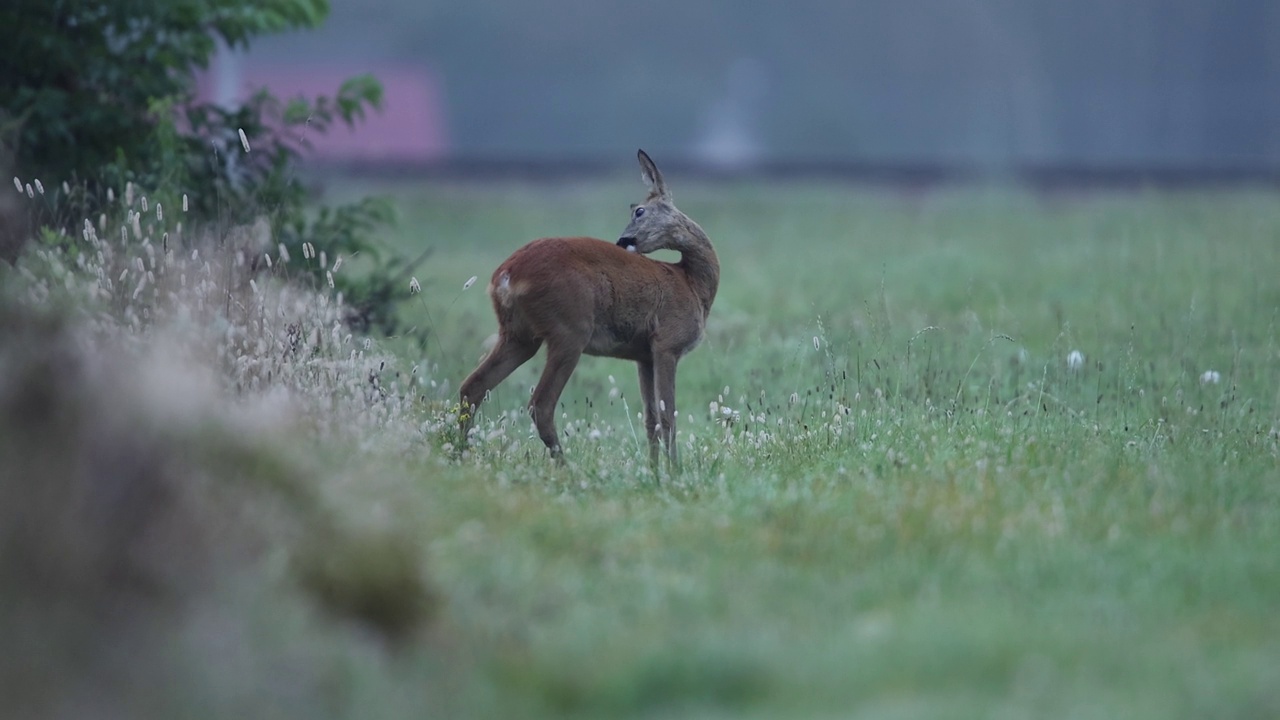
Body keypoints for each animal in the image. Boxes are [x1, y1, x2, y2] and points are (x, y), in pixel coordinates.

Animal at [460, 149, 721, 471]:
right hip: (569, 329)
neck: (693, 284)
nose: (623, 241)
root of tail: (506, 275)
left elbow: (651, 419)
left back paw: (458, 451)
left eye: (638, 211)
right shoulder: (667, 344)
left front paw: (653, 469)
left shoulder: (644, 355)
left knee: (472, 387)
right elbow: (668, 415)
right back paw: (566, 467)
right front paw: (674, 470)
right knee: (540, 404)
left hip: (518, 335)